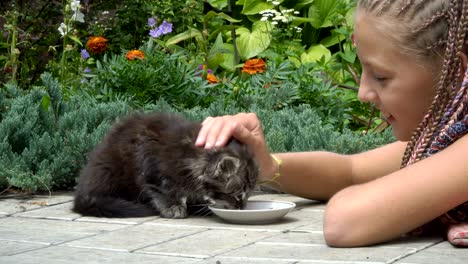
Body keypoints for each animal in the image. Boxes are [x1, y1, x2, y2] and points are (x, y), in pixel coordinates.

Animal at [72, 112, 260, 218]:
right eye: (238, 194)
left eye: (249, 194)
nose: (242, 208)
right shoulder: (150, 162)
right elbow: (162, 189)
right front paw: (172, 206)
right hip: (111, 169)